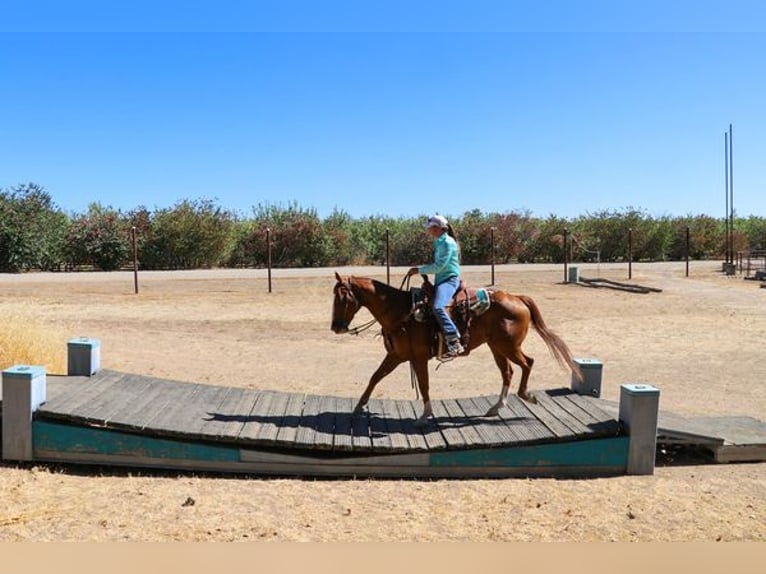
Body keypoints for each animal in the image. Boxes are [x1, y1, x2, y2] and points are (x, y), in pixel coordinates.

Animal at [331, 272, 583, 426]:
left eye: (344, 298)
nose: (335, 327)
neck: (401, 312)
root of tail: (517, 298)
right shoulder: (396, 355)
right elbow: (375, 377)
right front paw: (359, 406)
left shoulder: (418, 357)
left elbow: (424, 385)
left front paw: (424, 415)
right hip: (497, 347)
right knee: (508, 372)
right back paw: (496, 407)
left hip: (508, 346)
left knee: (527, 363)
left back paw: (526, 396)